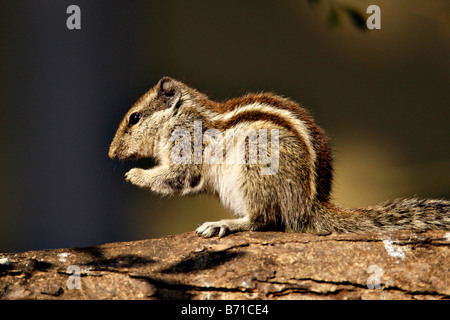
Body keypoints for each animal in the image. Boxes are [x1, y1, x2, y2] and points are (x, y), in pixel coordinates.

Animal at [109, 77, 450, 238]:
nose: (111, 153)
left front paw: (135, 175)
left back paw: (224, 225)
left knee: (265, 219)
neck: (182, 114)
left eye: (134, 118)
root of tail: (309, 207)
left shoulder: (186, 142)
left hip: (255, 166)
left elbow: (179, 175)